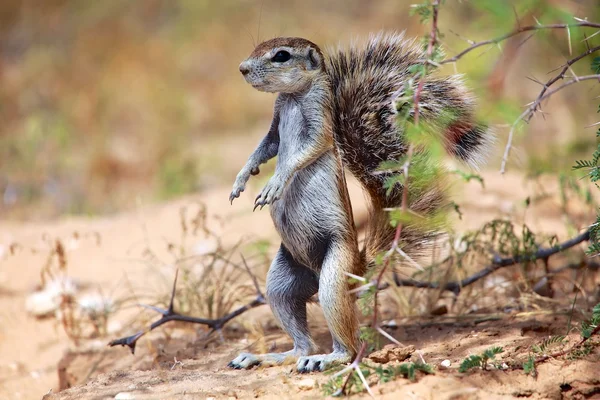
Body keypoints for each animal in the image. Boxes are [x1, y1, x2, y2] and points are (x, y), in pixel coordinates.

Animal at [227, 32, 490, 374]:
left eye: (281, 55)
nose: (242, 69)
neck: (293, 98)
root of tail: (358, 270)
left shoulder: (320, 122)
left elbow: (303, 153)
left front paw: (274, 183)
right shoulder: (275, 123)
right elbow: (264, 149)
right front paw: (241, 179)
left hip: (333, 276)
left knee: (347, 347)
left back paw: (327, 358)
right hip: (280, 284)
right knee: (301, 341)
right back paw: (269, 356)